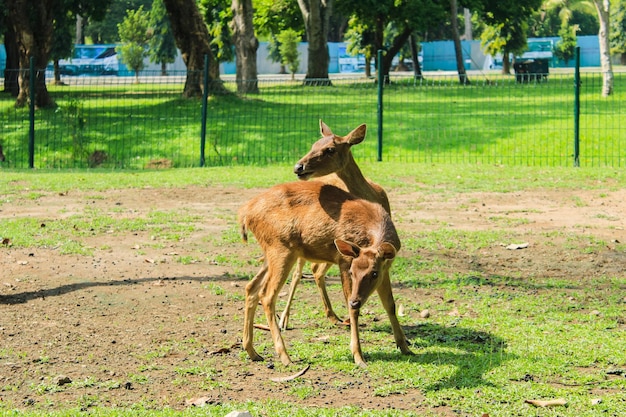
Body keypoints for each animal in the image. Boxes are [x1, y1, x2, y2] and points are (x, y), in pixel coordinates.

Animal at [238, 180, 410, 366]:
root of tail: (245, 214)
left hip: (271, 252)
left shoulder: (386, 269)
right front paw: (358, 356)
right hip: (280, 248)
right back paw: (284, 356)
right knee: (267, 295)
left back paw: (252, 351)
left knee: (251, 288)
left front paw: (405, 347)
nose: (356, 301)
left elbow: (390, 304)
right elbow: (353, 311)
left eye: (374, 273)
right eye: (352, 271)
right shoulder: (343, 261)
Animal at [280, 118, 390, 330]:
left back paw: (332, 315)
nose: (298, 167)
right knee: (298, 273)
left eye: (330, 149)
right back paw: (284, 319)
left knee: (316, 270)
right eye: (313, 144)